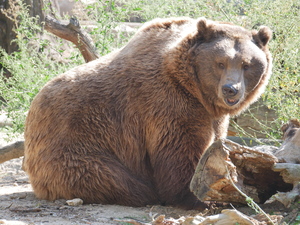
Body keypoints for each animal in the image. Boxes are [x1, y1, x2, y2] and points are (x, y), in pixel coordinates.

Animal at [22, 17, 272, 209]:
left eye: (247, 64)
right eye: (220, 63)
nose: (231, 89)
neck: (193, 88)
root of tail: (32, 112)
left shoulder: (211, 114)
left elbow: (214, 143)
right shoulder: (167, 102)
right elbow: (180, 151)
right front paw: (199, 196)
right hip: (74, 145)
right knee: (111, 178)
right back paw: (144, 194)